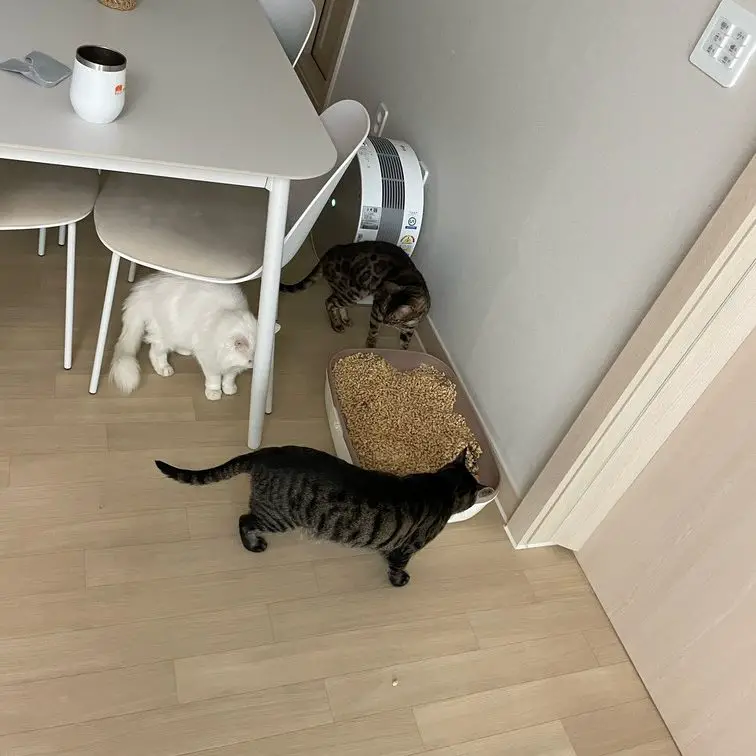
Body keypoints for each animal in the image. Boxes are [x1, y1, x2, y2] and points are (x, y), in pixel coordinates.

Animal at [105, 274, 274, 402]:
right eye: (252, 360)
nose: (256, 368)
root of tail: (144, 289)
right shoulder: (209, 360)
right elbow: (214, 379)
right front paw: (214, 393)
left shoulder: (232, 367)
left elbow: (229, 378)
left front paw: (229, 389)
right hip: (165, 334)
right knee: (155, 352)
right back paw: (164, 368)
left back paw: (185, 351)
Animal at [156, 446, 482, 588]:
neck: (440, 485)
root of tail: (265, 453)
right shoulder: (408, 547)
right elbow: (397, 565)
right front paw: (399, 580)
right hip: (277, 516)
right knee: (243, 519)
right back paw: (254, 544)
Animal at [280, 241, 432, 350]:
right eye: (383, 311)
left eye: (394, 318)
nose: (384, 321)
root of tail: (330, 251)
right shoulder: (376, 310)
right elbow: (373, 331)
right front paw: (371, 345)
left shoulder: (410, 330)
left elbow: (405, 345)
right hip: (354, 292)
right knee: (329, 302)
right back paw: (336, 324)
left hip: (344, 291)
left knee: (336, 302)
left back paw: (345, 319)